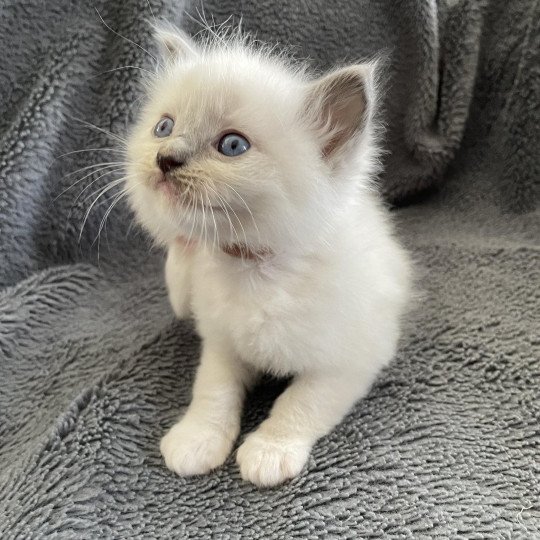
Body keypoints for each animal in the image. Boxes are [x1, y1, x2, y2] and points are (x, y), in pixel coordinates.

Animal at [126, 27, 412, 488]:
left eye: (232, 145)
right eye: (164, 127)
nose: (165, 159)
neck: (253, 267)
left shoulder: (351, 361)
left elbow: (299, 404)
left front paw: (269, 452)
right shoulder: (222, 344)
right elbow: (212, 392)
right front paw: (196, 441)